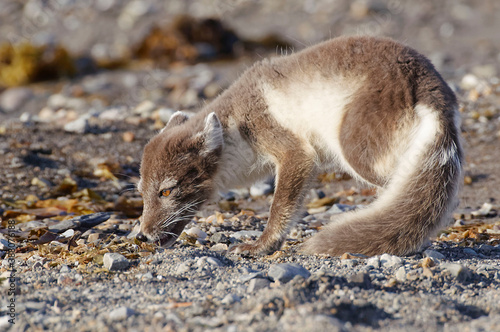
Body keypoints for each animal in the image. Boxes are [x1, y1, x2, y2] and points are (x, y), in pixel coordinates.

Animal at [135, 36, 462, 256]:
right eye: (141, 193)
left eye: (167, 191)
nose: (141, 236)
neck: (235, 125)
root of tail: (430, 85)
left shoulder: (293, 149)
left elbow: (280, 208)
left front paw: (261, 246)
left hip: (357, 151)